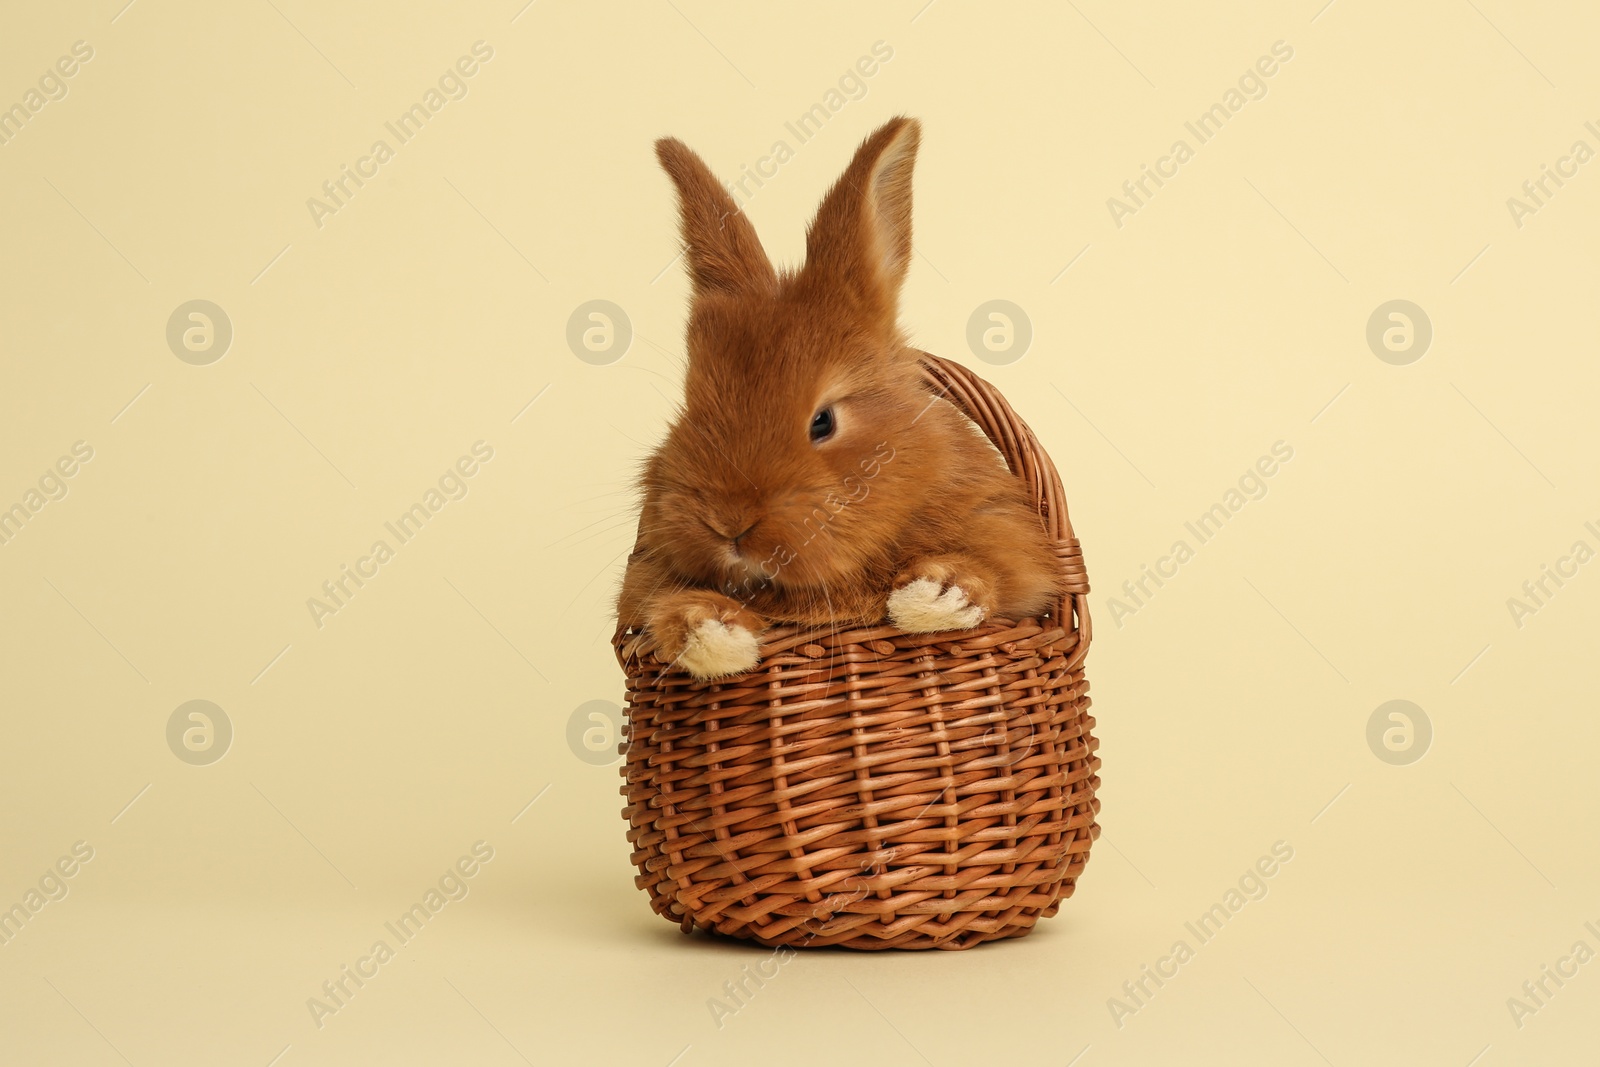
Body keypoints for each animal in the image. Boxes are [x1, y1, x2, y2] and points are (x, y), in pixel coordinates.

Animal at [614, 116, 1062, 681]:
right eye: (690, 411)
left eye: (823, 421)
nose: (729, 523)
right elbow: (660, 605)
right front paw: (710, 632)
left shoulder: (1007, 534)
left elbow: (998, 574)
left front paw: (935, 595)